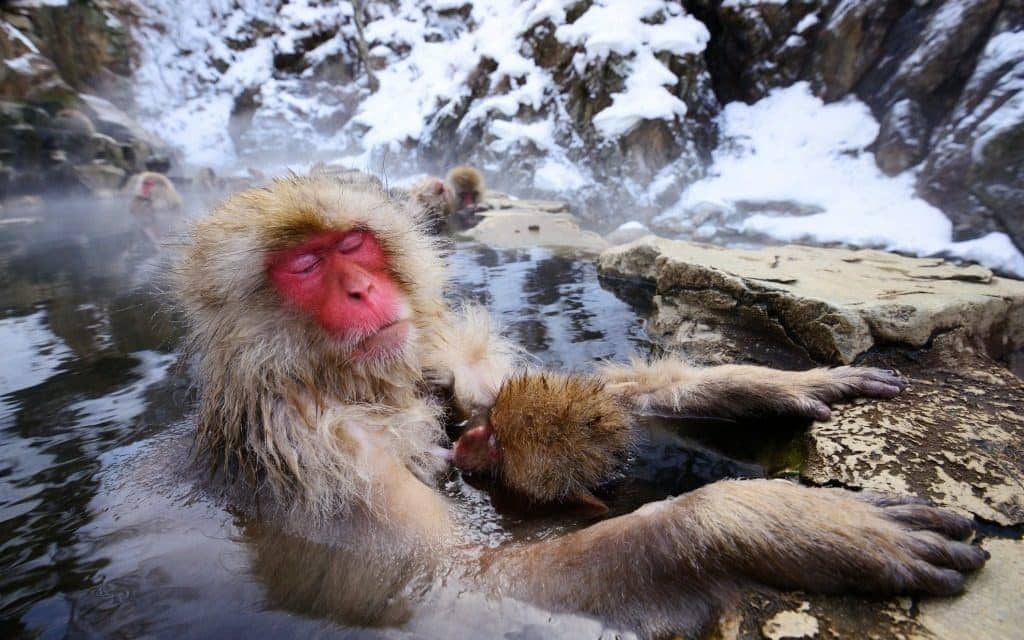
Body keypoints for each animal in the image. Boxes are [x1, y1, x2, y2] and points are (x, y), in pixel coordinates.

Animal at [172, 169, 986, 639]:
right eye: (306, 267)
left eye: (355, 246)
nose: (360, 291)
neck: (351, 384)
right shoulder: (327, 458)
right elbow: (457, 586)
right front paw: (770, 521)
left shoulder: (441, 359)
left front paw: (769, 382)